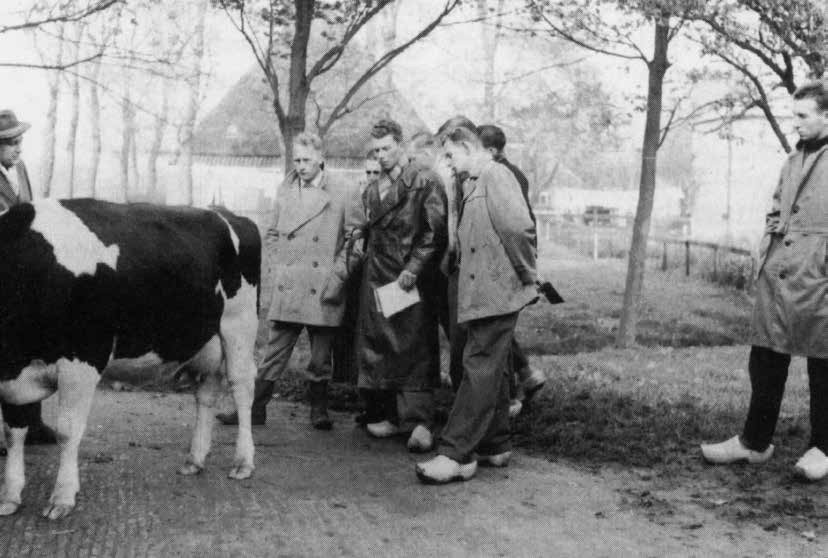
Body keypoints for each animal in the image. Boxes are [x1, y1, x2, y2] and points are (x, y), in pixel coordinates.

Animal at [0, 198, 260, 519]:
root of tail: (228, 214)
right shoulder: (13, 377)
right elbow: (13, 434)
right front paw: (10, 497)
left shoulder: (82, 362)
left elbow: (67, 432)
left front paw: (62, 497)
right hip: (205, 339)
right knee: (206, 393)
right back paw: (195, 460)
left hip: (240, 324)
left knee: (242, 387)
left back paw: (243, 462)